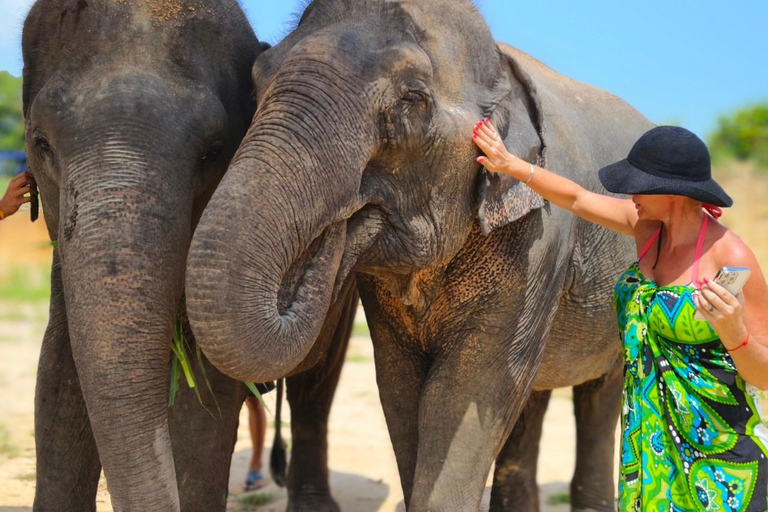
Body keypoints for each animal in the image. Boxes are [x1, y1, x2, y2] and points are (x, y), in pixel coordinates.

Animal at [186, 0, 656, 510]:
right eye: (256, 81)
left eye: (412, 98)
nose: (337, 224)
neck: (501, 68)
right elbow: (401, 386)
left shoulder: (543, 238)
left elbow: (468, 389)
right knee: (534, 396)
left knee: (599, 392)